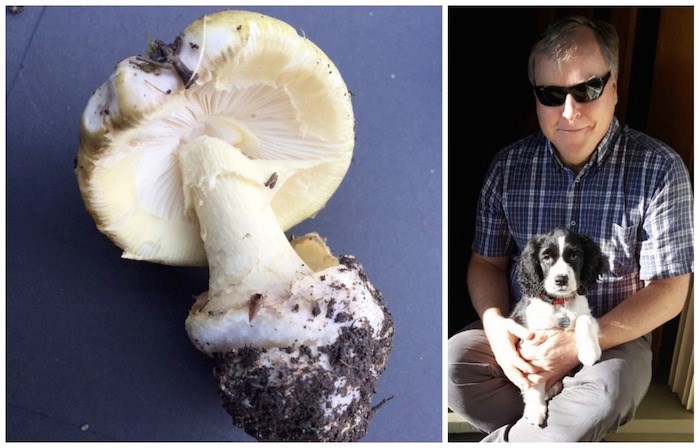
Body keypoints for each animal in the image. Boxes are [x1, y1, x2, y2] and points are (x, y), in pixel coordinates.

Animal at [508, 228, 608, 428]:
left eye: (575, 255)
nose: (561, 280)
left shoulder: (586, 313)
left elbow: (584, 319)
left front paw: (589, 352)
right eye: (546, 257)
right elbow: (534, 378)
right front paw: (535, 409)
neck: (560, 304)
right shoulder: (531, 340)